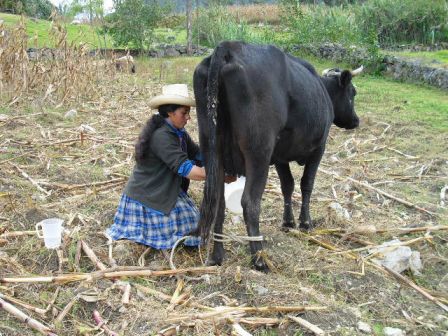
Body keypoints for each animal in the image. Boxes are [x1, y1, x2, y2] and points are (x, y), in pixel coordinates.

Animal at [192, 41, 360, 270]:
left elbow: (287, 185)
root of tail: (230, 47)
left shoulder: (280, 157)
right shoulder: (319, 148)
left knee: (218, 201)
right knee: (250, 203)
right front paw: (305, 222)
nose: (356, 120)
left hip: (211, 148)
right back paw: (259, 258)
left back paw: (217, 256)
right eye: (353, 92)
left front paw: (288, 222)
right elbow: (306, 184)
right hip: (258, 152)